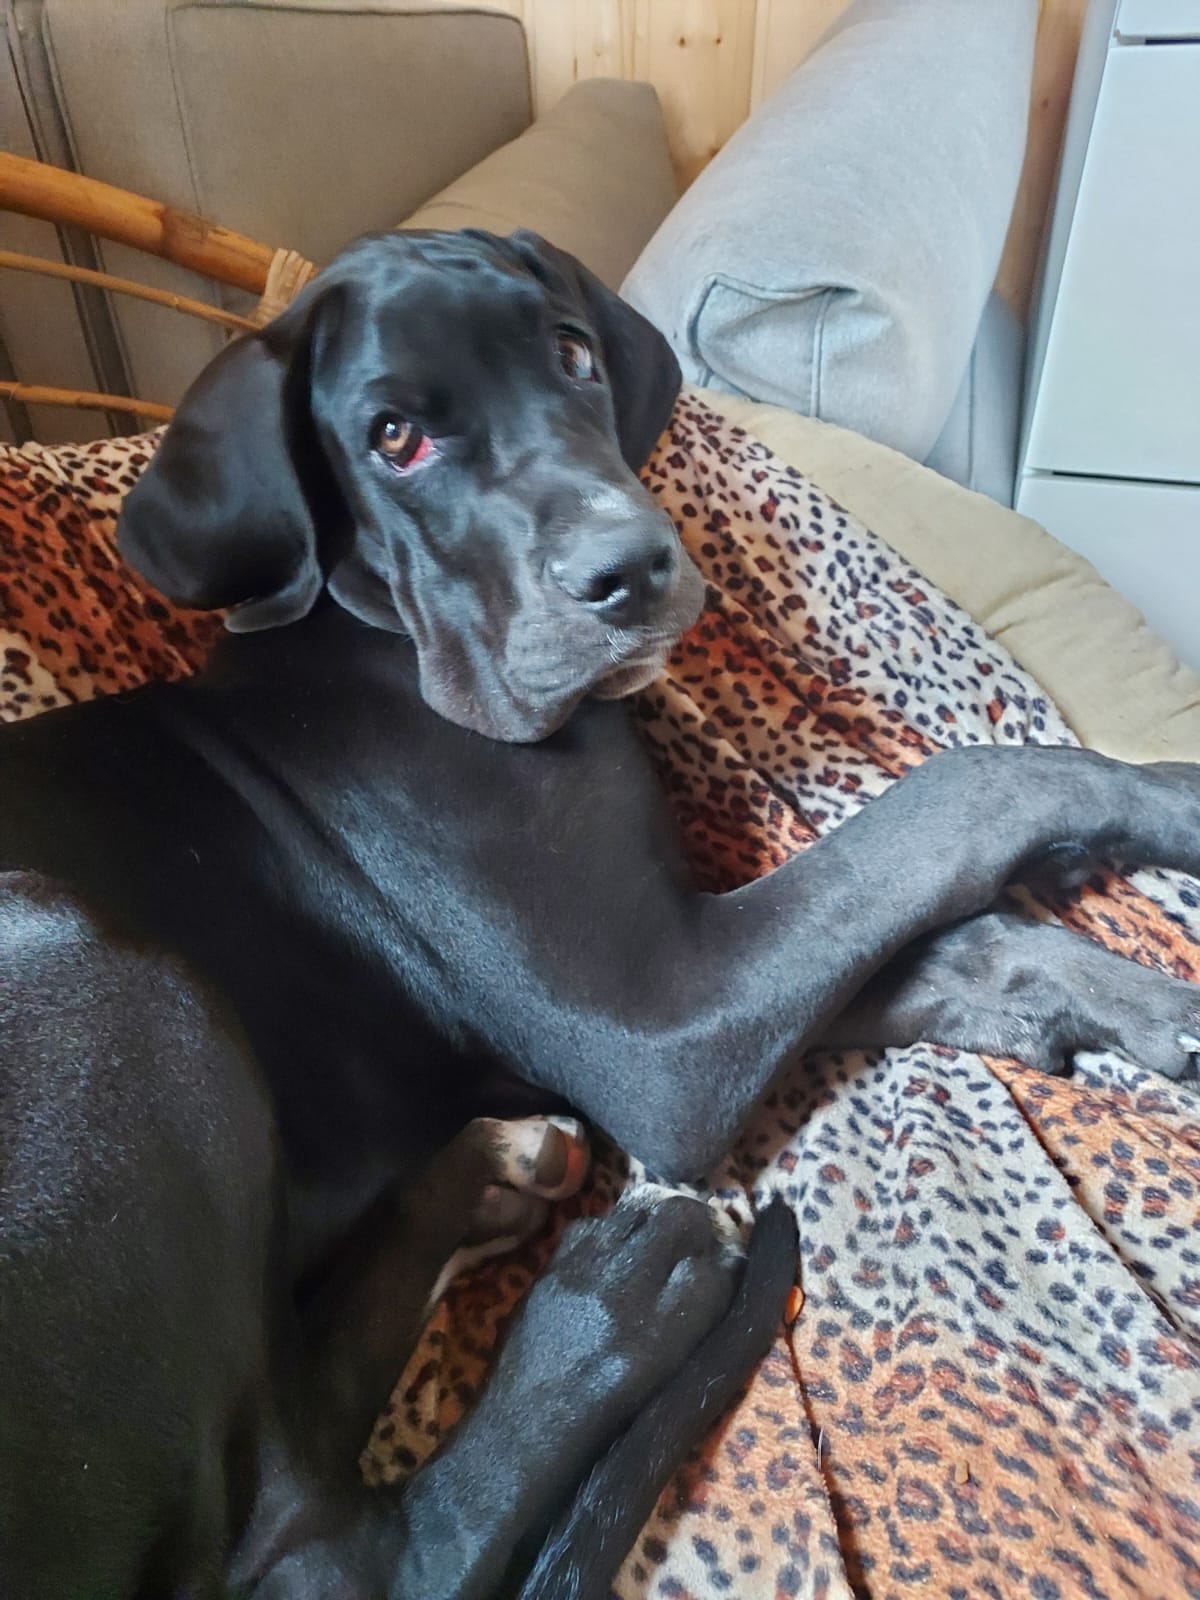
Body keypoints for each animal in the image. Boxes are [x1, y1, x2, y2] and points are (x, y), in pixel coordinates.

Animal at [2, 228, 1199, 1599]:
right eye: (393, 437)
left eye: (573, 356)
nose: (630, 571)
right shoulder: (658, 1026)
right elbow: (969, 784)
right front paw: (1167, 802)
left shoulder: (659, 971)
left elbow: (937, 930)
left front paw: (1114, 998)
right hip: (79, 958)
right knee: (332, 1550)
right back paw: (616, 1299)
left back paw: (487, 1180)